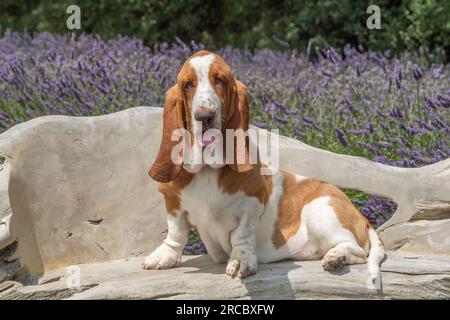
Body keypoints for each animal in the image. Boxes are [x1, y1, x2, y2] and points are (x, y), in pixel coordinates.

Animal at [143, 50, 384, 284]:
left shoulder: (251, 205)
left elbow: (241, 236)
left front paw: (240, 261)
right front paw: (163, 256)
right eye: (187, 84)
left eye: (219, 80)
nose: (205, 116)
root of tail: (362, 218)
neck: (207, 169)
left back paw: (335, 258)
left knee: (356, 251)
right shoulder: (173, 203)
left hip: (321, 211)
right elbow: (176, 233)